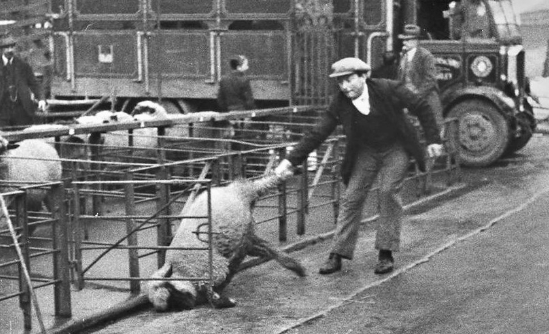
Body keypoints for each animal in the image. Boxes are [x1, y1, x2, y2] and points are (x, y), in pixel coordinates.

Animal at [143, 174, 306, 312]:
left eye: (171, 290)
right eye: (171, 304)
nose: (188, 305)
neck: (182, 270)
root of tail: (232, 190)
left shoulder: (215, 268)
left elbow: (214, 290)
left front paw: (224, 300)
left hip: (245, 210)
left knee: (260, 185)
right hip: (247, 233)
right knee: (264, 248)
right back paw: (295, 267)